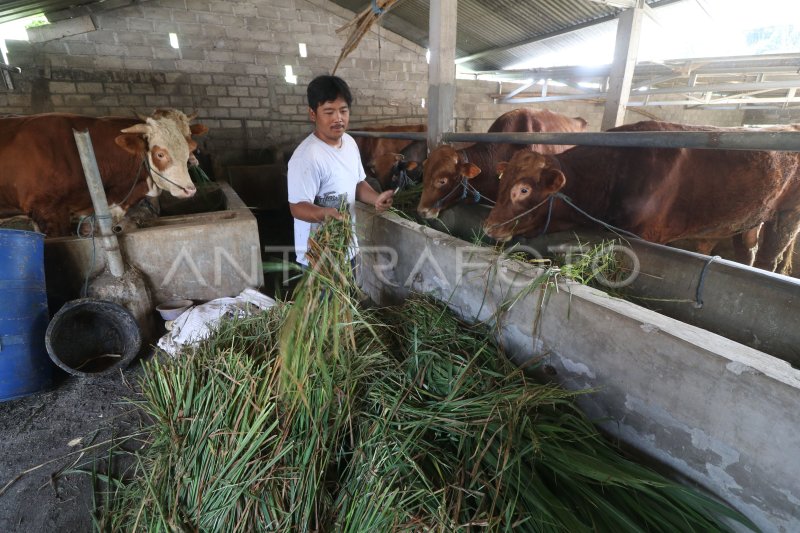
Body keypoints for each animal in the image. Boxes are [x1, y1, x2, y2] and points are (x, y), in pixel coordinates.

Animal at [482, 121, 800, 274]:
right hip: (750, 218)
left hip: (788, 215)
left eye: (523, 190)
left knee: (770, 257)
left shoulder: (647, 235)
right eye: (501, 184)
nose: (488, 226)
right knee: (748, 249)